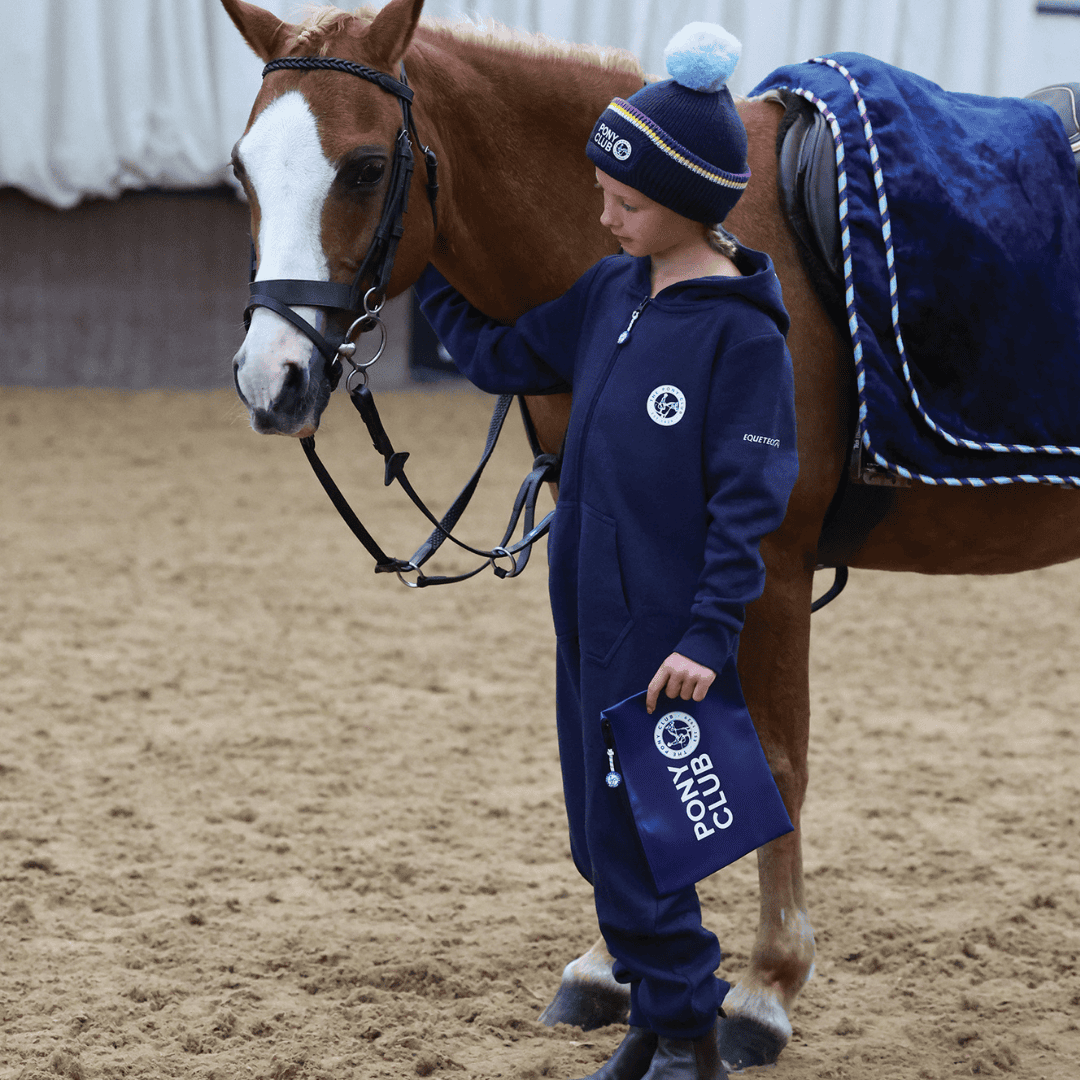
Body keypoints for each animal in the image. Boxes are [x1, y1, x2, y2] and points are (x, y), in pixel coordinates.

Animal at [221, 0, 1080, 1068]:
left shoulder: (768, 568)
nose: (273, 380)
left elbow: (771, 761)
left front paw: (763, 989)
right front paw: (610, 966)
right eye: (243, 171)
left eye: (369, 167)